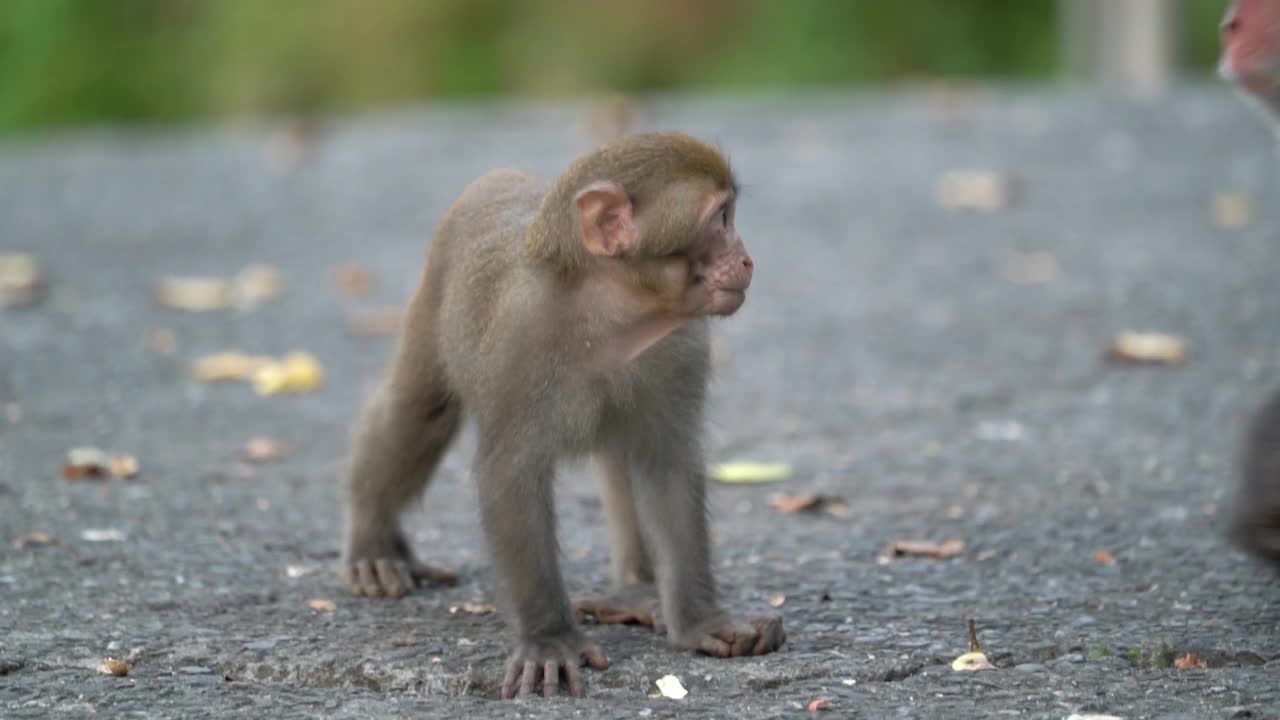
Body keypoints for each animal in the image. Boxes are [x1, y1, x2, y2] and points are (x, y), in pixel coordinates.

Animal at [335, 130, 783, 696]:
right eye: (720, 219)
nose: (746, 260)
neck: (614, 316)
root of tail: (498, 176)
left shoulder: (681, 346)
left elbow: (667, 466)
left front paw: (702, 619)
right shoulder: (518, 339)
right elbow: (510, 476)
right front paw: (549, 639)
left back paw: (636, 595)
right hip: (431, 298)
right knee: (418, 410)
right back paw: (374, 546)